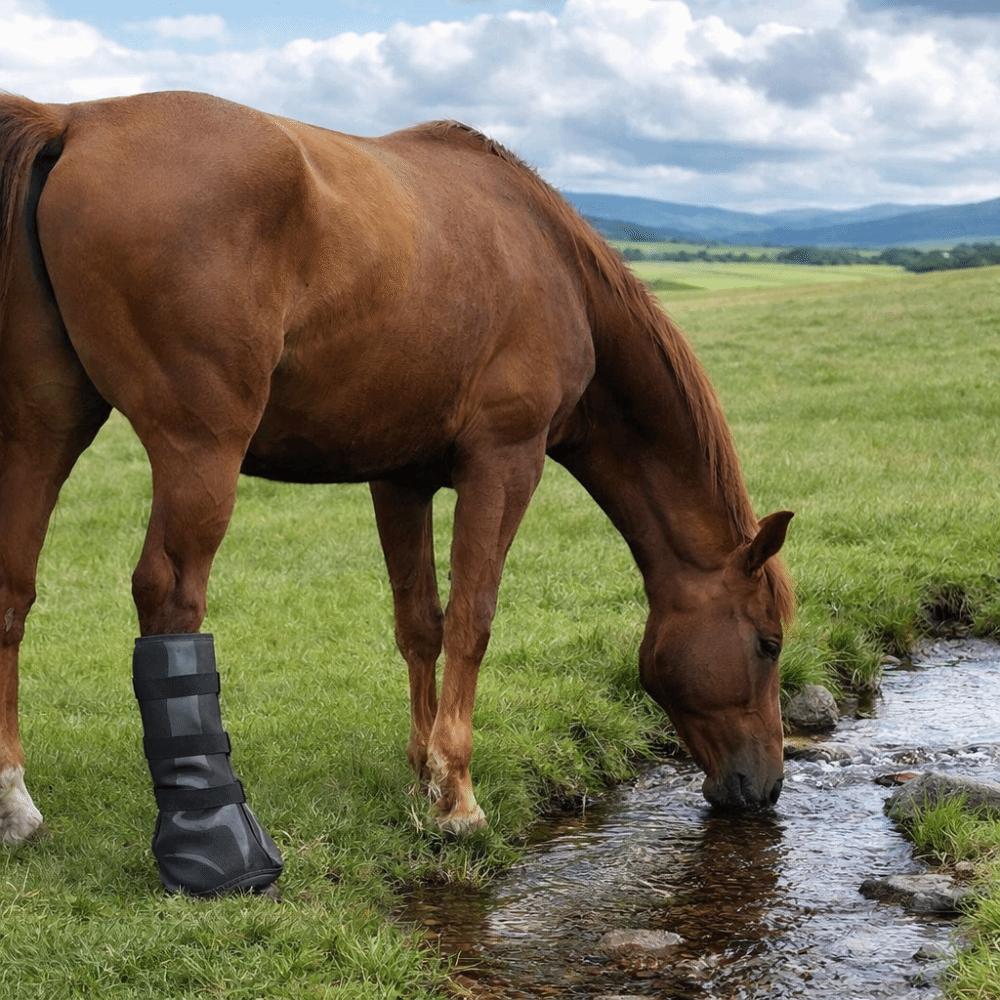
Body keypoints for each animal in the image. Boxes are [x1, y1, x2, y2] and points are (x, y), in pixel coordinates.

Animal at [0, 90, 793, 847]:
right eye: (769, 643)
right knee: (169, 598)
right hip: (199, 450)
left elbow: (420, 623)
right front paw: (459, 796)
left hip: (46, 428)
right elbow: (473, 618)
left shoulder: (400, 480)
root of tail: (74, 122)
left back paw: (15, 803)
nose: (765, 787)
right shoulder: (505, 463)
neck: (552, 262)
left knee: (14, 588)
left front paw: (422, 778)